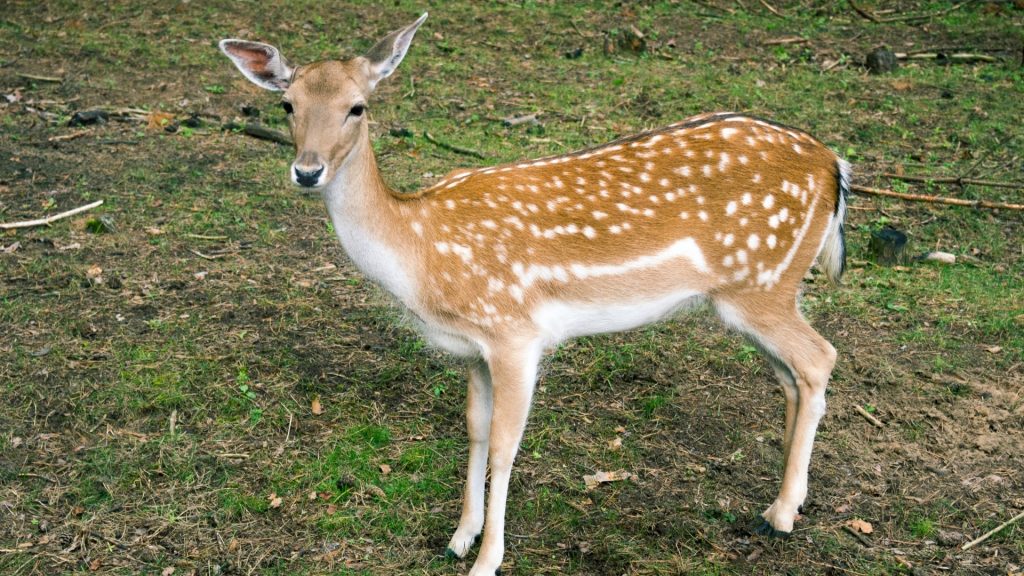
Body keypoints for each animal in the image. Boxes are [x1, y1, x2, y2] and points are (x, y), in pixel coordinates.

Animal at [220, 13, 851, 573]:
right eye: (287, 105)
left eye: (358, 106)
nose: (308, 171)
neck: (422, 251)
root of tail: (837, 167)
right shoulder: (472, 349)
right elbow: (474, 431)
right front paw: (459, 538)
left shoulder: (515, 333)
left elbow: (506, 447)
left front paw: (487, 561)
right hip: (757, 295)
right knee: (790, 376)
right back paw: (786, 501)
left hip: (761, 285)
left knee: (821, 357)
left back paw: (781, 514)